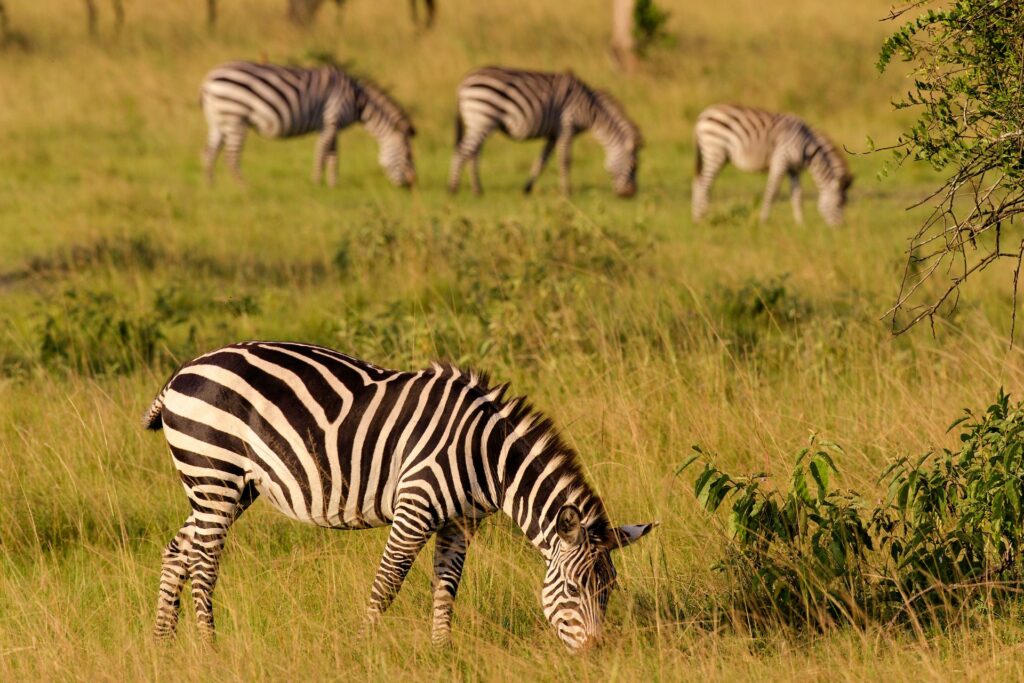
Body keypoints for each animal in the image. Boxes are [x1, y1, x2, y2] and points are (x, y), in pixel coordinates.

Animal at [144, 341, 655, 651]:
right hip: (214, 473)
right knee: (204, 563)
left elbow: (447, 586)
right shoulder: (415, 506)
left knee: (179, 550)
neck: (486, 456)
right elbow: (387, 584)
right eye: (571, 589)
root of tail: (182, 372)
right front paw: (363, 649)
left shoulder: (459, 522)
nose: (595, 654)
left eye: (608, 590)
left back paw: (164, 643)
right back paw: (210, 647)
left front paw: (442, 652)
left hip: (227, 486)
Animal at [199, 61, 416, 188]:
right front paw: (317, 183)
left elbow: (333, 155)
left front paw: (333, 185)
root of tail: (208, 80)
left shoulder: (332, 126)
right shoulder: (331, 120)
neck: (357, 100)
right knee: (231, 156)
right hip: (235, 117)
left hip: (218, 120)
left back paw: (211, 186)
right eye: (407, 156)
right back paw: (244, 187)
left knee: (209, 152)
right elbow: (322, 152)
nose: (411, 186)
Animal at [448, 66, 642, 198]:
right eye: (633, 166)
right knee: (463, 151)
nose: (630, 194)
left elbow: (542, 160)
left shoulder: (553, 134)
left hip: (481, 122)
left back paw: (477, 189)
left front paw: (527, 188)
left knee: (474, 153)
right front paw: (567, 191)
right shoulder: (567, 126)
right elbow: (565, 159)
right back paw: (454, 188)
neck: (591, 109)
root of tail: (463, 83)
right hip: (483, 117)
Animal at [692, 104, 853, 226]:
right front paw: (763, 221)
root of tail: (703, 116)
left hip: (718, 155)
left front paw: (800, 224)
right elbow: (772, 192)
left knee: (698, 182)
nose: (841, 227)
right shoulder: (780, 160)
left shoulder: (794, 169)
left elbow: (797, 195)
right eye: (839, 204)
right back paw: (701, 218)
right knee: (703, 184)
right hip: (715, 151)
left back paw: (697, 217)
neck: (806, 146)